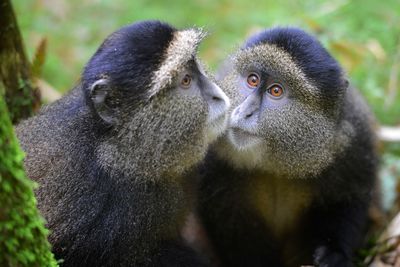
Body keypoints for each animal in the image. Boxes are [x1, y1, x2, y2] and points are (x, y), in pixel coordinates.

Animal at [197, 27, 378, 267]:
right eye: (252, 79)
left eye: (276, 91)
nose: (245, 112)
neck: (275, 166)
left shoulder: (354, 143)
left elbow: (349, 201)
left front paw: (334, 253)